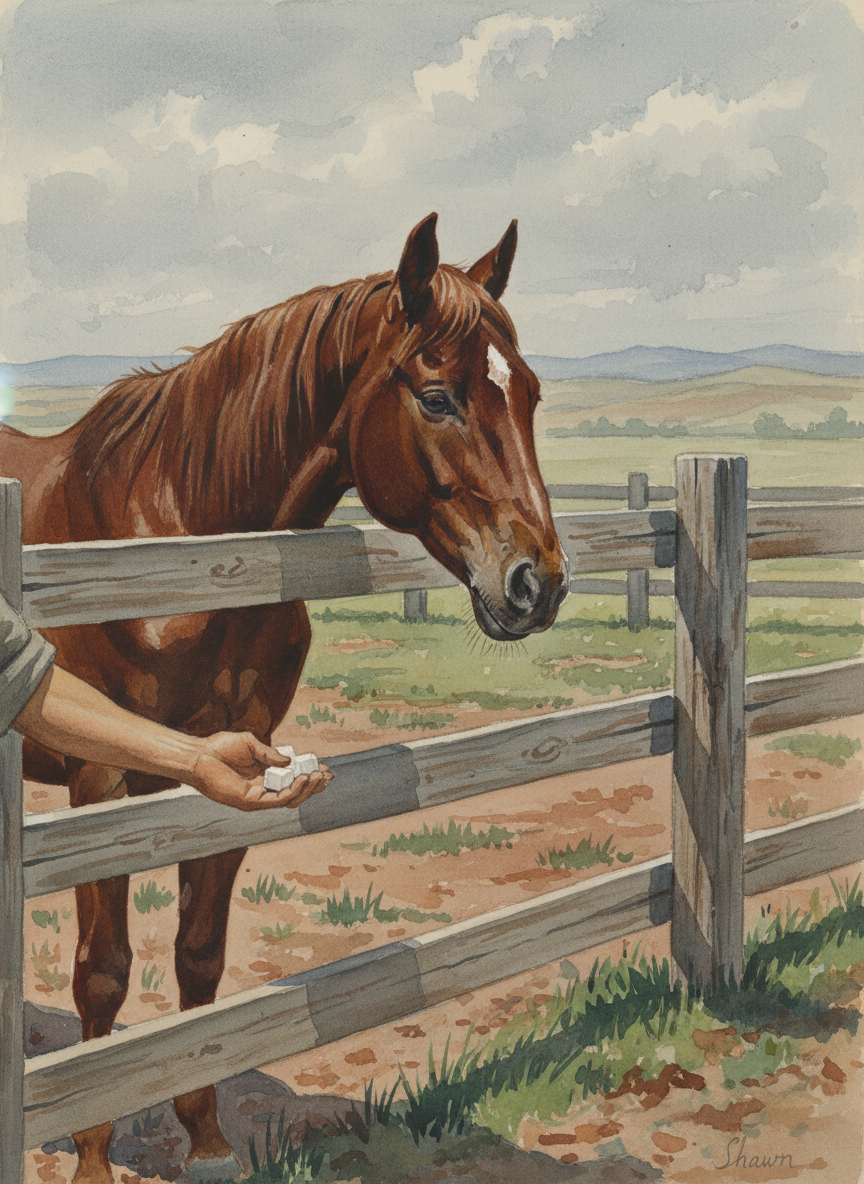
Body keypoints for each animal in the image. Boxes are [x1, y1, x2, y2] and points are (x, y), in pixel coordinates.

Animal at [1, 214, 569, 1183]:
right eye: (437, 397)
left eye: (526, 391)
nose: (539, 584)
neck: (181, 541)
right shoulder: (97, 784)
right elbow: (102, 971)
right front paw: (93, 1159)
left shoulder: (230, 762)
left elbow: (199, 957)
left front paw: (206, 1139)